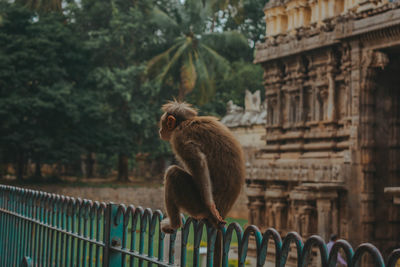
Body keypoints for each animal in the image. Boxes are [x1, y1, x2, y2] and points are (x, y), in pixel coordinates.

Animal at [158, 100, 245, 234]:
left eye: (163, 124)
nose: (160, 130)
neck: (184, 122)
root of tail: (224, 211)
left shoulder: (179, 137)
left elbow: (198, 162)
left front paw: (211, 207)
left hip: (197, 205)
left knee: (173, 173)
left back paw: (174, 224)